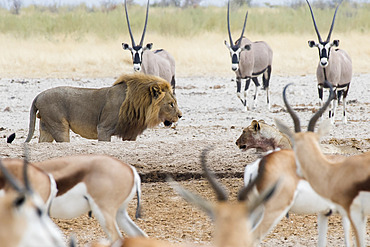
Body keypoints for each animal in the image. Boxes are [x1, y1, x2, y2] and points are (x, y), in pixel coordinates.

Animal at [24, 73, 182, 142]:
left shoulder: (130, 133)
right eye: (171, 104)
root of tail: (38, 95)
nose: (180, 115)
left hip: (46, 127)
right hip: (59, 126)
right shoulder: (104, 129)